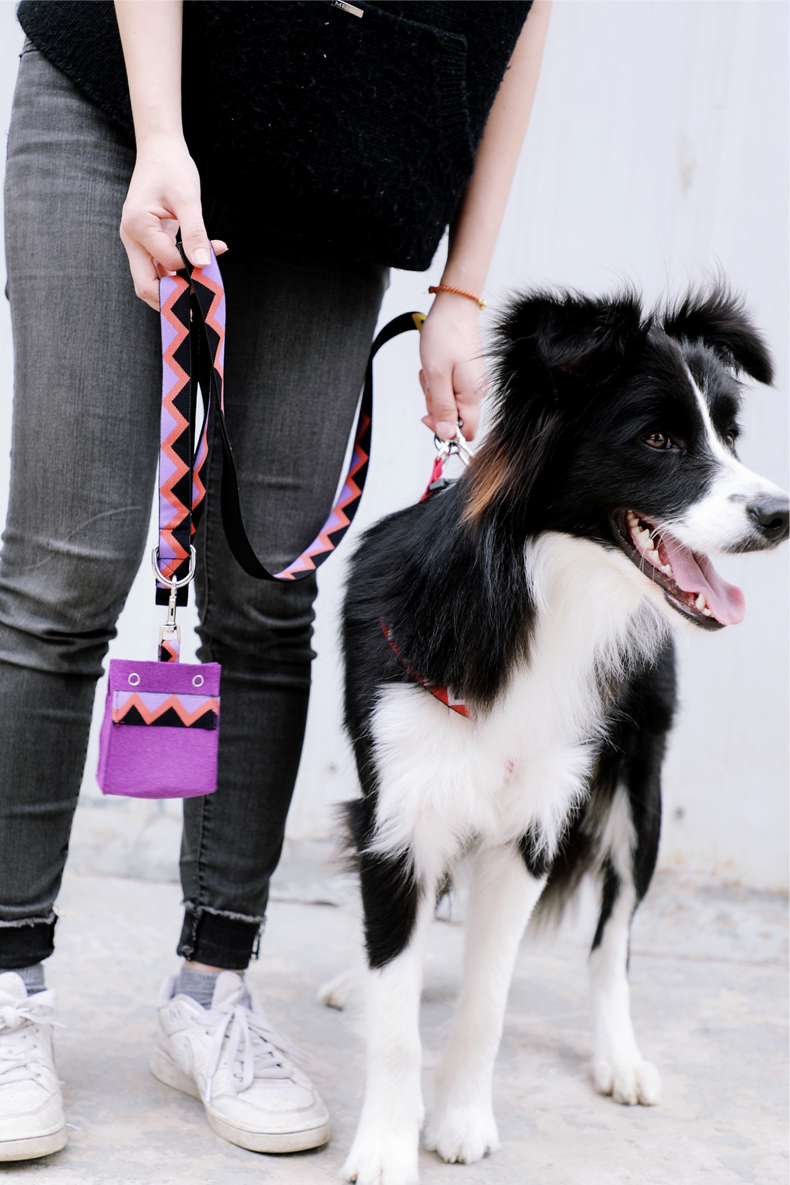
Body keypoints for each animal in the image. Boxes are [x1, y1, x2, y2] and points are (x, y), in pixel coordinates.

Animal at [331, 289, 786, 1185]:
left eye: (730, 434)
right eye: (658, 439)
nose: (781, 514)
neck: (533, 600)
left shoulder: (531, 827)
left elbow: (491, 997)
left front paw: (461, 1118)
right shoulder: (398, 815)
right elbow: (397, 1005)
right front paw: (385, 1145)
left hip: (640, 795)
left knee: (612, 944)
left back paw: (620, 1056)